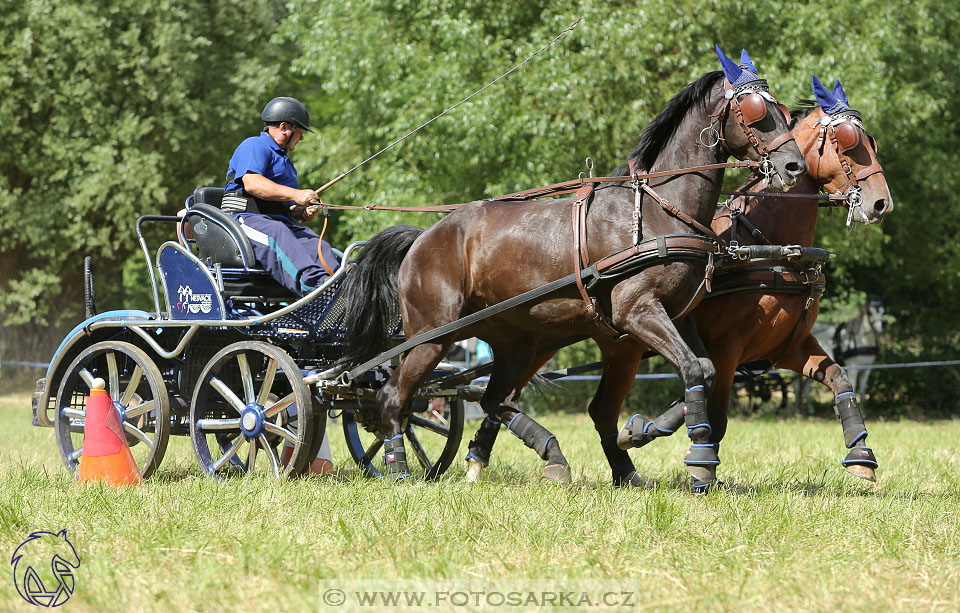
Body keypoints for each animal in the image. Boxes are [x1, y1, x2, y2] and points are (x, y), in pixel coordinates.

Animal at [338, 47, 804, 480]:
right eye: (756, 111)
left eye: (783, 111)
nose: (793, 165)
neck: (656, 212)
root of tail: (423, 237)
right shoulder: (638, 313)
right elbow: (691, 368)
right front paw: (693, 456)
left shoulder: (674, 315)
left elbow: (702, 370)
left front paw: (648, 438)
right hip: (430, 337)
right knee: (393, 399)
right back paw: (398, 468)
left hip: (515, 342)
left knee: (494, 399)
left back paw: (552, 456)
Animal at [464, 75, 892, 488]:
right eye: (847, 141)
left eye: (870, 141)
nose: (881, 203)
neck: (769, 247)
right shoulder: (727, 347)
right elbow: (715, 410)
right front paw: (695, 460)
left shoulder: (788, 344)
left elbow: (839, 377)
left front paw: (861, 455)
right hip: (546, 341)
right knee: (501, 397)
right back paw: (488, 459)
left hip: (607, 346)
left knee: (544, 402)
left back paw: (490, 460)